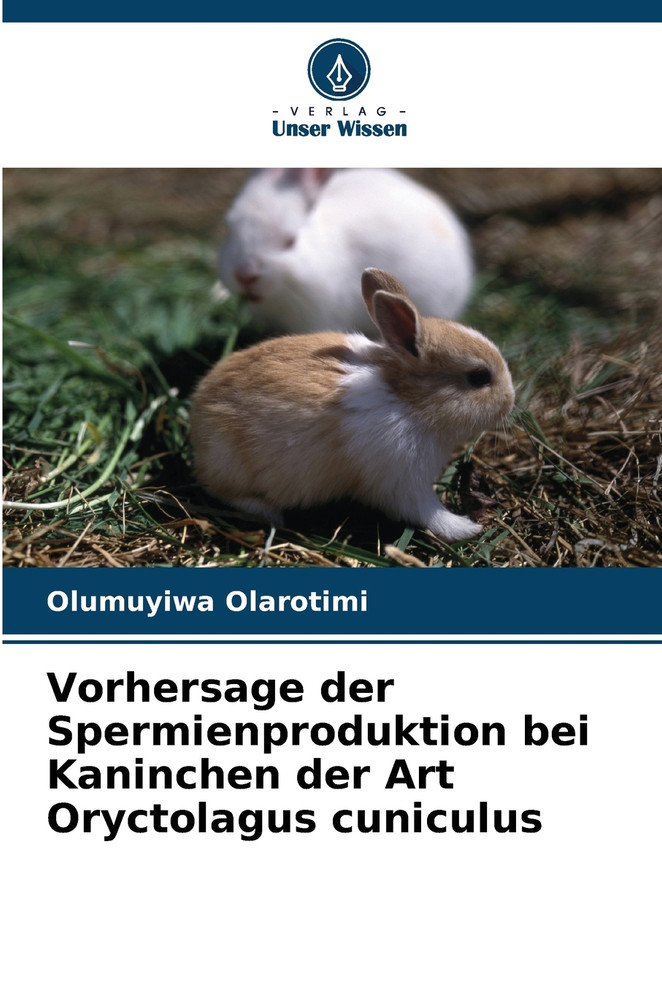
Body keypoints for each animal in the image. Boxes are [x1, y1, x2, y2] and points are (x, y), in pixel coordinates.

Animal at [190, 268, 514, 543]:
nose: (511, 400)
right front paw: (466, 528)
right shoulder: (404, 480)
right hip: (232, 463)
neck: (409, 400)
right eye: (478, 377)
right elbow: (428, 512)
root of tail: (199, 413)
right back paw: (270, 513)